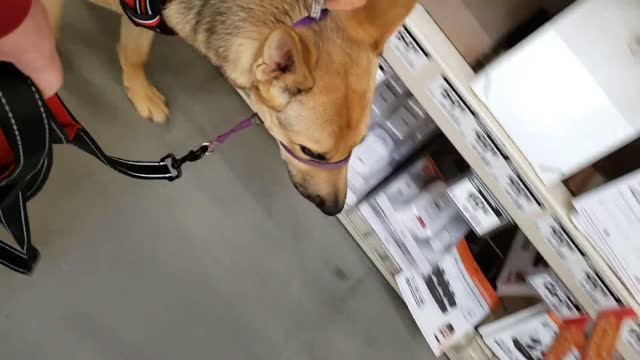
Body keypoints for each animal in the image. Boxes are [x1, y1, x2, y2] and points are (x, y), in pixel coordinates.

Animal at [46, 0, 416, 214]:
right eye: (310, 152)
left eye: (358, 146)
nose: (335, 209)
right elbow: (48, 32)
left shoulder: (141, 20)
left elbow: (134, 54)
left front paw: (139, 91)